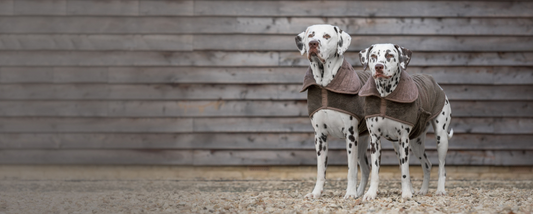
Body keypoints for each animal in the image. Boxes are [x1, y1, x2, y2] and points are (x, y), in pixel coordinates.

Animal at [296, 24, 370, 199]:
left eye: (327, 36)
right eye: (311, 35)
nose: (313, 44)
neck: (326, 85)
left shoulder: (351, 136)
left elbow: (351, 170)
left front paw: (349, 194)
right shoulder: (320, 137)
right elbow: (320, 170)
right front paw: (316, 193)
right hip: (362, 143)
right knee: (366, 169)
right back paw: (359, 192)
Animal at [358, 44, 454, 201]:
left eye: (390, 55)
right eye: (373, 56)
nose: (378, 66)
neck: (386, 96)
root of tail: (436, 83)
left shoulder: (403, 140)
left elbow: (404, 171)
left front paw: (407, 194)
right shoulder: (375, 140)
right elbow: (376, 172)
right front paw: (371, 193)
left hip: (441, 138)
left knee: (442, 167)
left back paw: (440, 189)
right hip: (415, 143)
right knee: (427, 165)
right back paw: (423, 190)